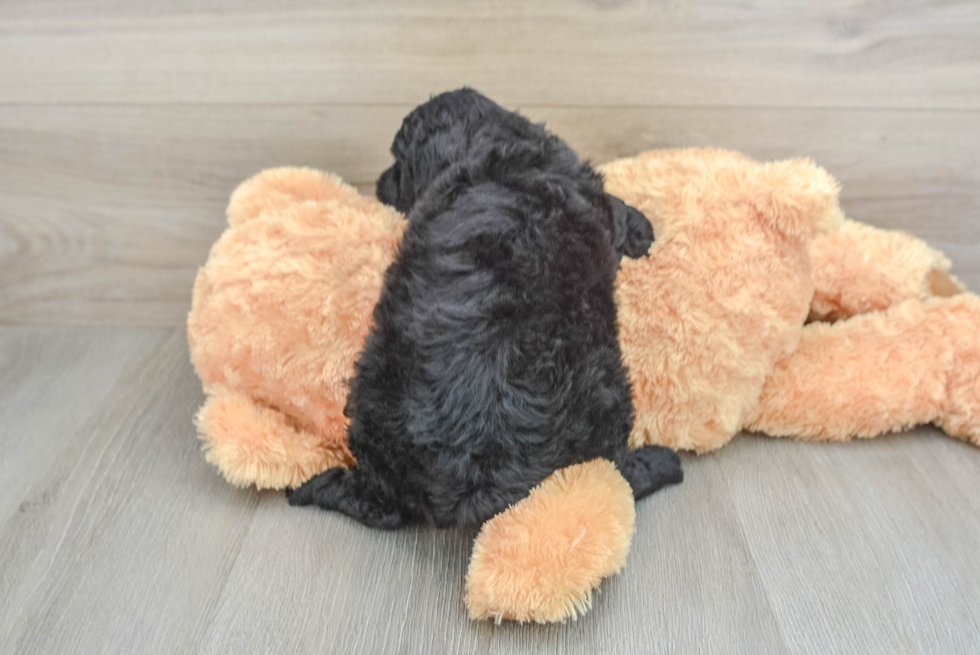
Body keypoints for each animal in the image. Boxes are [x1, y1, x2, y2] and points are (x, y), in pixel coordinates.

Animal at [288, 88, 676, 528]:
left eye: (398, 163)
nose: (380, 183)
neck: (493, 139)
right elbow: (616, 208)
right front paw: (643, 230)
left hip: (369, 397)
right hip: (608, 392)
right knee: (617, 471)